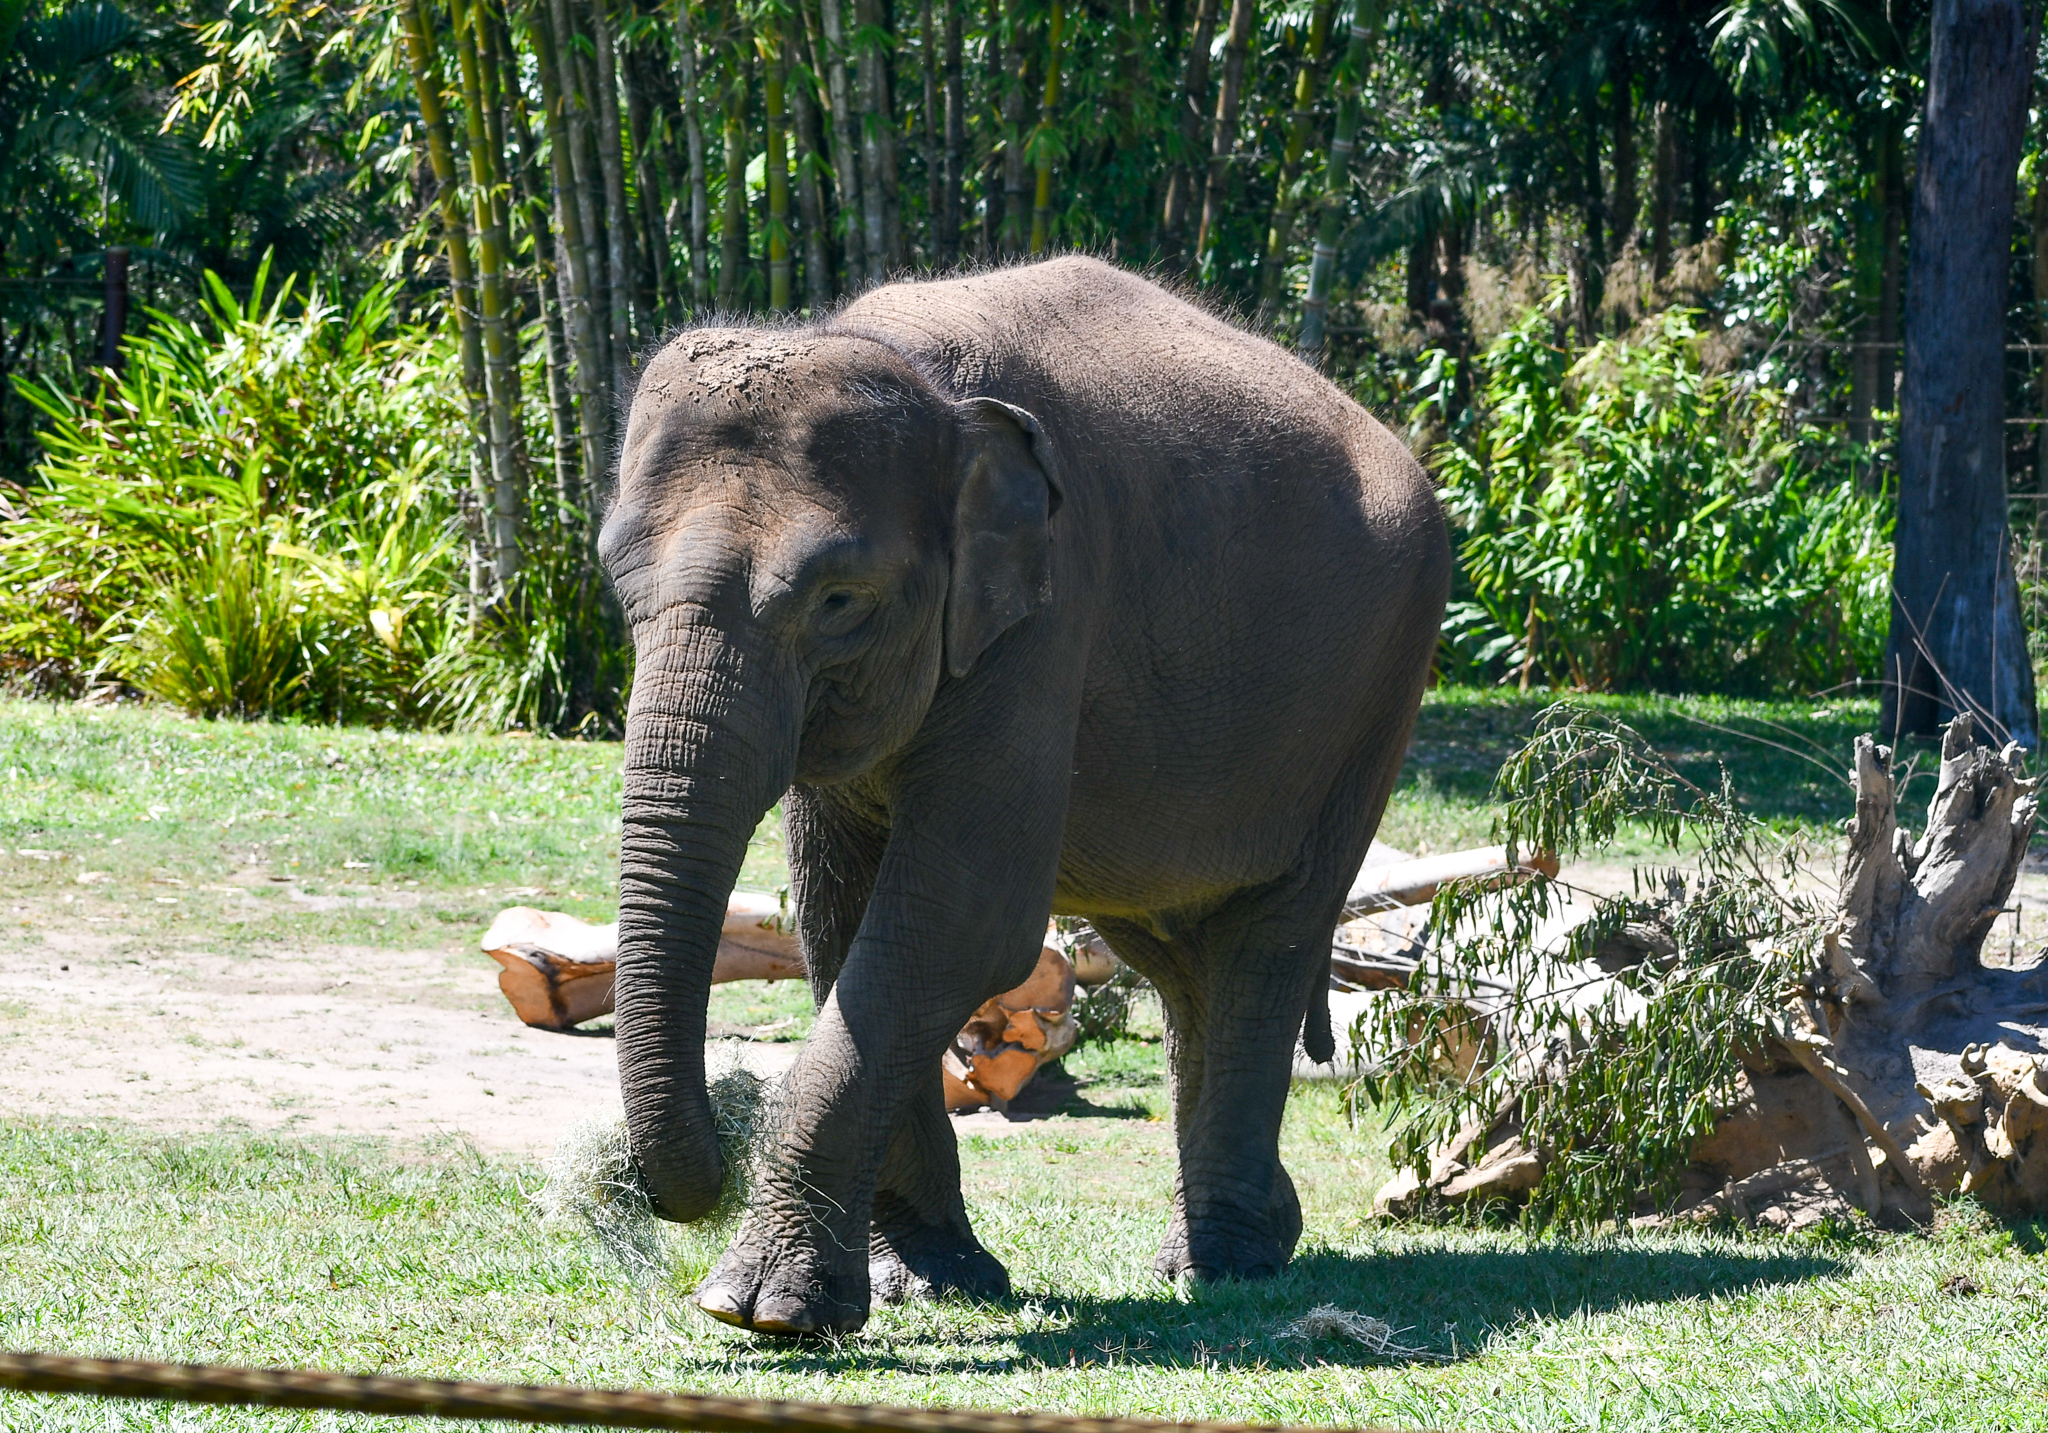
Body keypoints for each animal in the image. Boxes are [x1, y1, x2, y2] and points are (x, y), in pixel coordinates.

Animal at [597, 255, 1450, 1336]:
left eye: (838, 601)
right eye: (617, 583)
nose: (690, 1183)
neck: (913, 377)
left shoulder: (1046, 620)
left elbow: (963, 920)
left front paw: (760, 1309)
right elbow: (843, 918)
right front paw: (929, 1281)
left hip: (1377, 689)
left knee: (1269, 938)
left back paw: (1223, 1264)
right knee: (1181, 955)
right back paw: (1251, 1232)